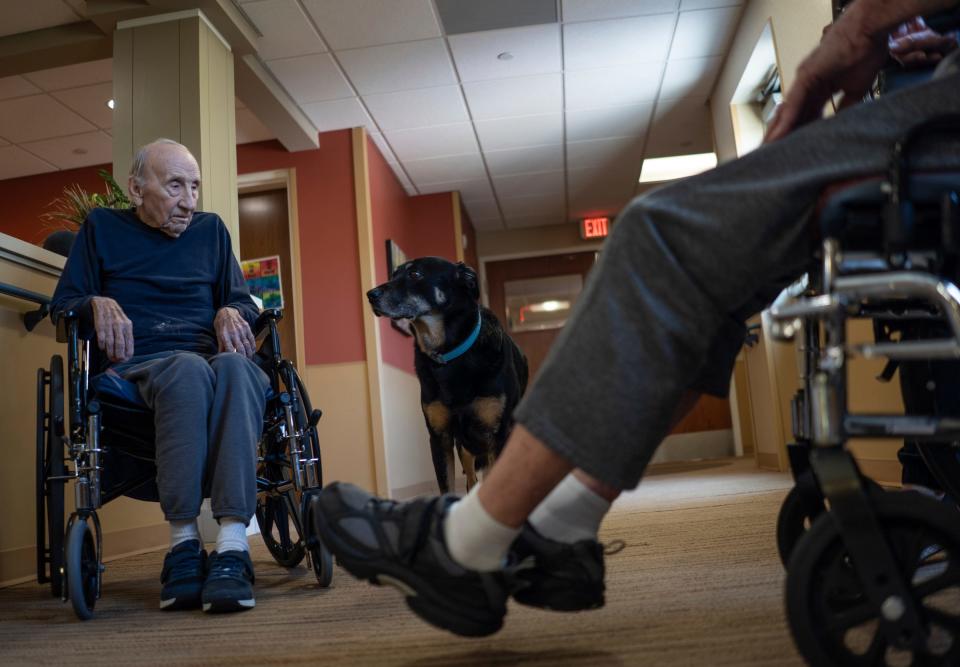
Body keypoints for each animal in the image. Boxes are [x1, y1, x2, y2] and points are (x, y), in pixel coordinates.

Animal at [368, 258, 532, 494]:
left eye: (415, 274)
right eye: (393, 275)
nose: (370, 295)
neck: (450, 353)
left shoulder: (498, 434)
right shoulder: (440, 437)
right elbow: (446, 485)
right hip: (464, 444)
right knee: (472, 479)